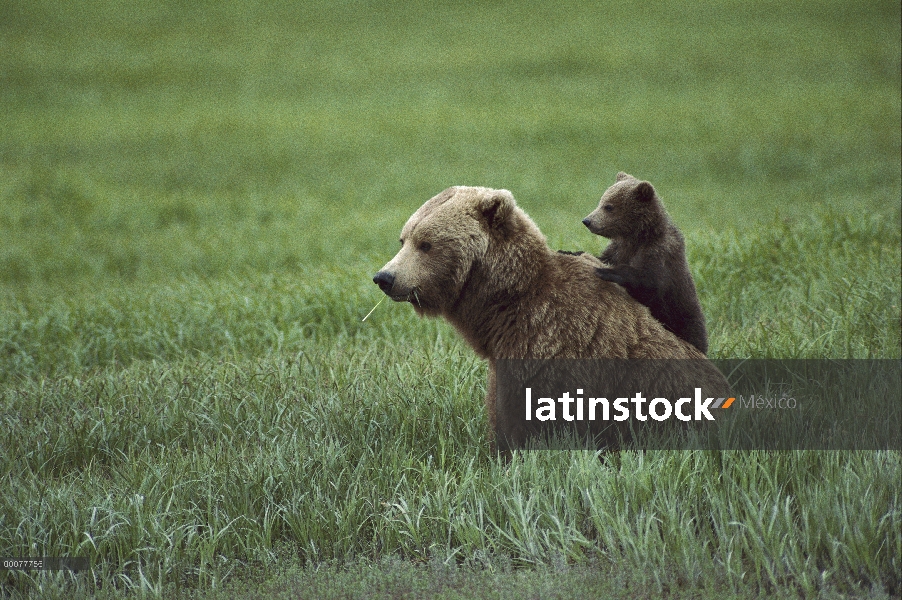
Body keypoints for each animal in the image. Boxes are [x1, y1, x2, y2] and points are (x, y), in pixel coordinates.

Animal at [588, 171, 712, 354]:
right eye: (601, 201)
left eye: (608, 206)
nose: (587, 221)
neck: (639, 235)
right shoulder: (619, 248)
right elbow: (604, 257)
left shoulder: (658, 252)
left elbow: (650, 282)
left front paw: (606, 271)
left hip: (684, 321)